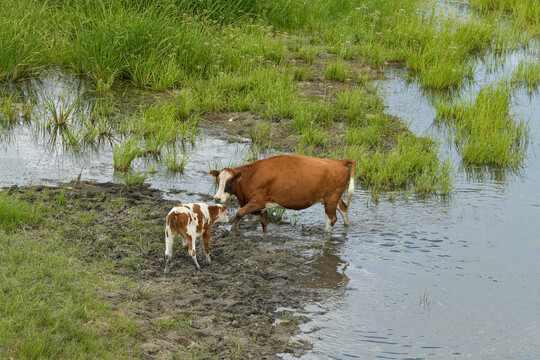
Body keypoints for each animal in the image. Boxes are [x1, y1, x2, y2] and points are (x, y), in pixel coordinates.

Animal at [209, 155, 356, 233]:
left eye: (230, 182)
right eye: (218, 180)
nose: (217, 198)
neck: (250, 177)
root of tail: (339, 161)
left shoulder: (257, 202)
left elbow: (239, 213)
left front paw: (232, 230)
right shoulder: (263, 206)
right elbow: (264, 223)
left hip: (331, 198)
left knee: (331, 219)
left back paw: (326, 235)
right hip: (333, 198)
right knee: (343, 208)